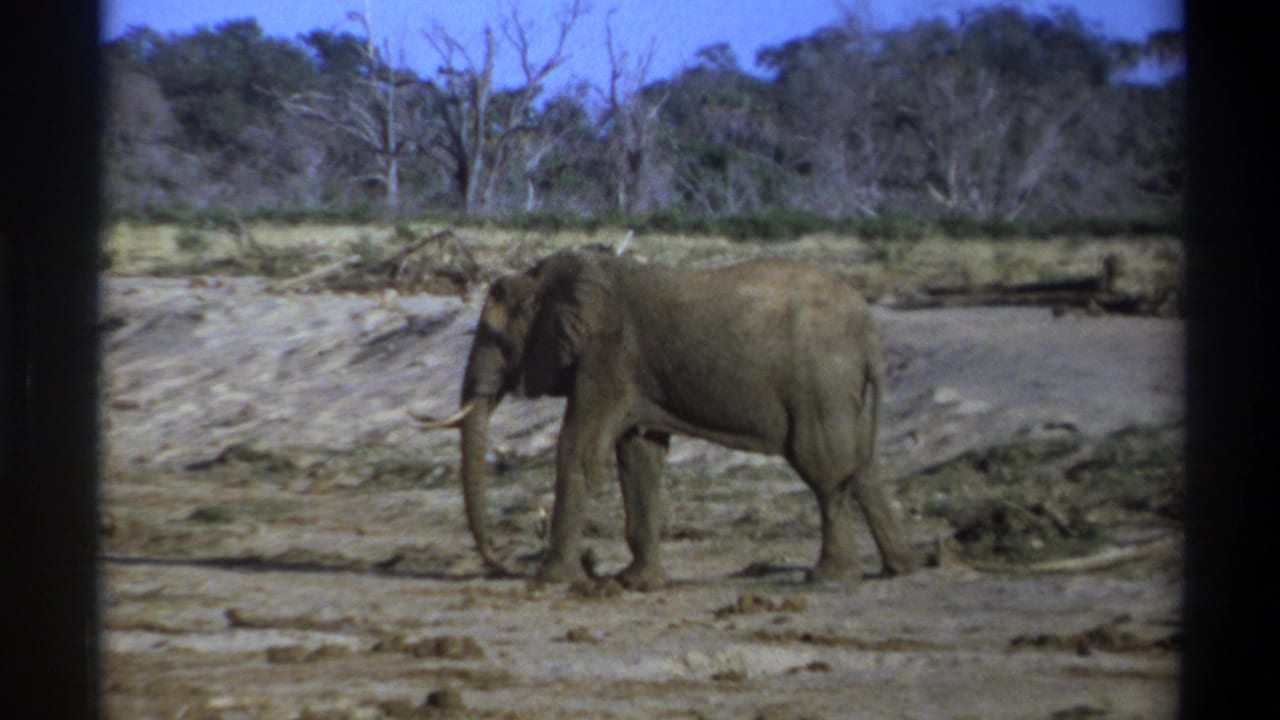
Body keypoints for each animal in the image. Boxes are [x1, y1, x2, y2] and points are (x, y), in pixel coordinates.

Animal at [421, 248, 916, 588]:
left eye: (493, 336)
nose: (498, 560)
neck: (545, 278)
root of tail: (870, 331)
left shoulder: (606, 355)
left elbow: (581, 448)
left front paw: (551, 580)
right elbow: (640, 455)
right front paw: (637, 583)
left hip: (819, 384)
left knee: (825, 470)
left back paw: (829, 577)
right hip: (838, 388)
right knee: (861, 467)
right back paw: (899, 568)